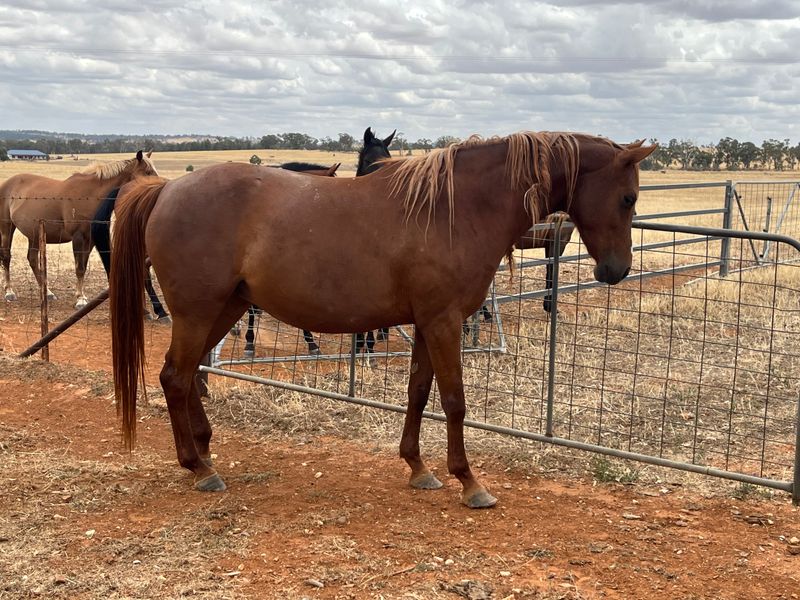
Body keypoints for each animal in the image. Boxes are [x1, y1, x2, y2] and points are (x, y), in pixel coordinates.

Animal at [0, 151, 158, 308]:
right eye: (147, 172)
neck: (90, 195)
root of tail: (7, 184)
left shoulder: (90, 240)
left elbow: (83, 266)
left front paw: (81, 296)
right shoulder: (78, 237)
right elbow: (79, 268)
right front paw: (80, 299)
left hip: (34, 234)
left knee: (32, 259)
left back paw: (48, 293)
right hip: (7, 228)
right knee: (6, 257)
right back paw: (9, 292)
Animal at [109, 131, 656, 508]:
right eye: (627, 198)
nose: (616, 270)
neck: (456, 208)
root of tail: (166, 190)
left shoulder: (428, 323)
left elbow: (418, 393)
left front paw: (418, 467)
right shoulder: (444, 322)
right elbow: (454, 401)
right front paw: (469, 481)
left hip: (225, 308)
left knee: (187, 375)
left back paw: (204, 453)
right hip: (198, 311)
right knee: (176, 376)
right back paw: (198, 468)